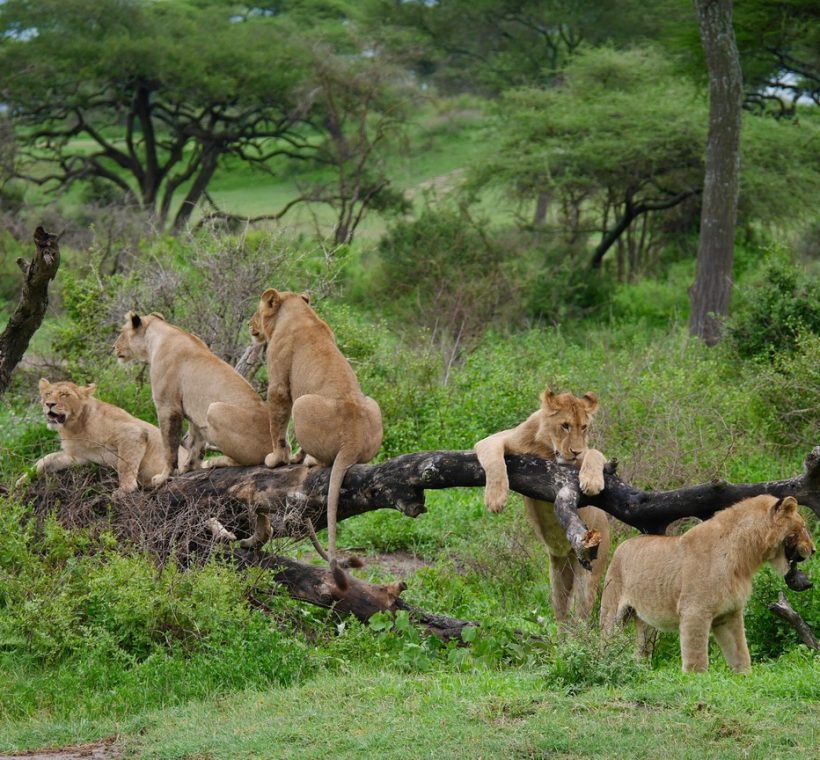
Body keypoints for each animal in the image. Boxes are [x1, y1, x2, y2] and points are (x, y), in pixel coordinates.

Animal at [16, 378, 168, 499]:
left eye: (64, 394)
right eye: (47, 394)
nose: (49, 404)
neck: (73, 428)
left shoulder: (133, 432)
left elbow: (125, 465)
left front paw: (125, 489)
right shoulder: (78, 457)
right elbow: (47, 458)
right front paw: (23, 479)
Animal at [113, 311, 271, 486]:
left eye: (122, 332)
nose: (113, 347)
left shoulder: (167, 406)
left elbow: (169, 446)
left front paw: (163, 477)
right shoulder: (192, 411)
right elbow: (196, 441)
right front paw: (188, 467)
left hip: (215, 409)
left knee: (245, 461)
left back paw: (215, 461)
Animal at [246, 289, 383, 579]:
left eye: (257, 310)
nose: (249, 325)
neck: (297, 311)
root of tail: (352, 441)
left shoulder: (278, 383)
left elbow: (277, 425)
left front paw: (276, 459)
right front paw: (291, 456)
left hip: (302, 402)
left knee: (322, 459)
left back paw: (308, 461)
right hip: (373, 404)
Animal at [474, 388, 610, 622]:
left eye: (584, 427)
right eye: (565, 425)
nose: (575, 451)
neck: (546, 449)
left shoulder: (586, 456)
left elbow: (595, 453)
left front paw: (592, 481)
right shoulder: (495, 439)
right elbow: (494, 459)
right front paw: (495, 499)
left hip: (589, 573)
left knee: (581, 617)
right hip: (557, 576)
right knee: (562, 616)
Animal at [599, 494, 816, 673]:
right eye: (803, 527)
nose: (814, 550)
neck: (744, 557)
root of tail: (622, 544)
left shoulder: (729, 613)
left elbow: (740, 652)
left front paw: (745, 677)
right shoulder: (694, 610)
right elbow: (696, 659)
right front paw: (695, 682)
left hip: (646, 623)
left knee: (641, 650)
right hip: (612, 612)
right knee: (605, 640)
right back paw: (605, 663)